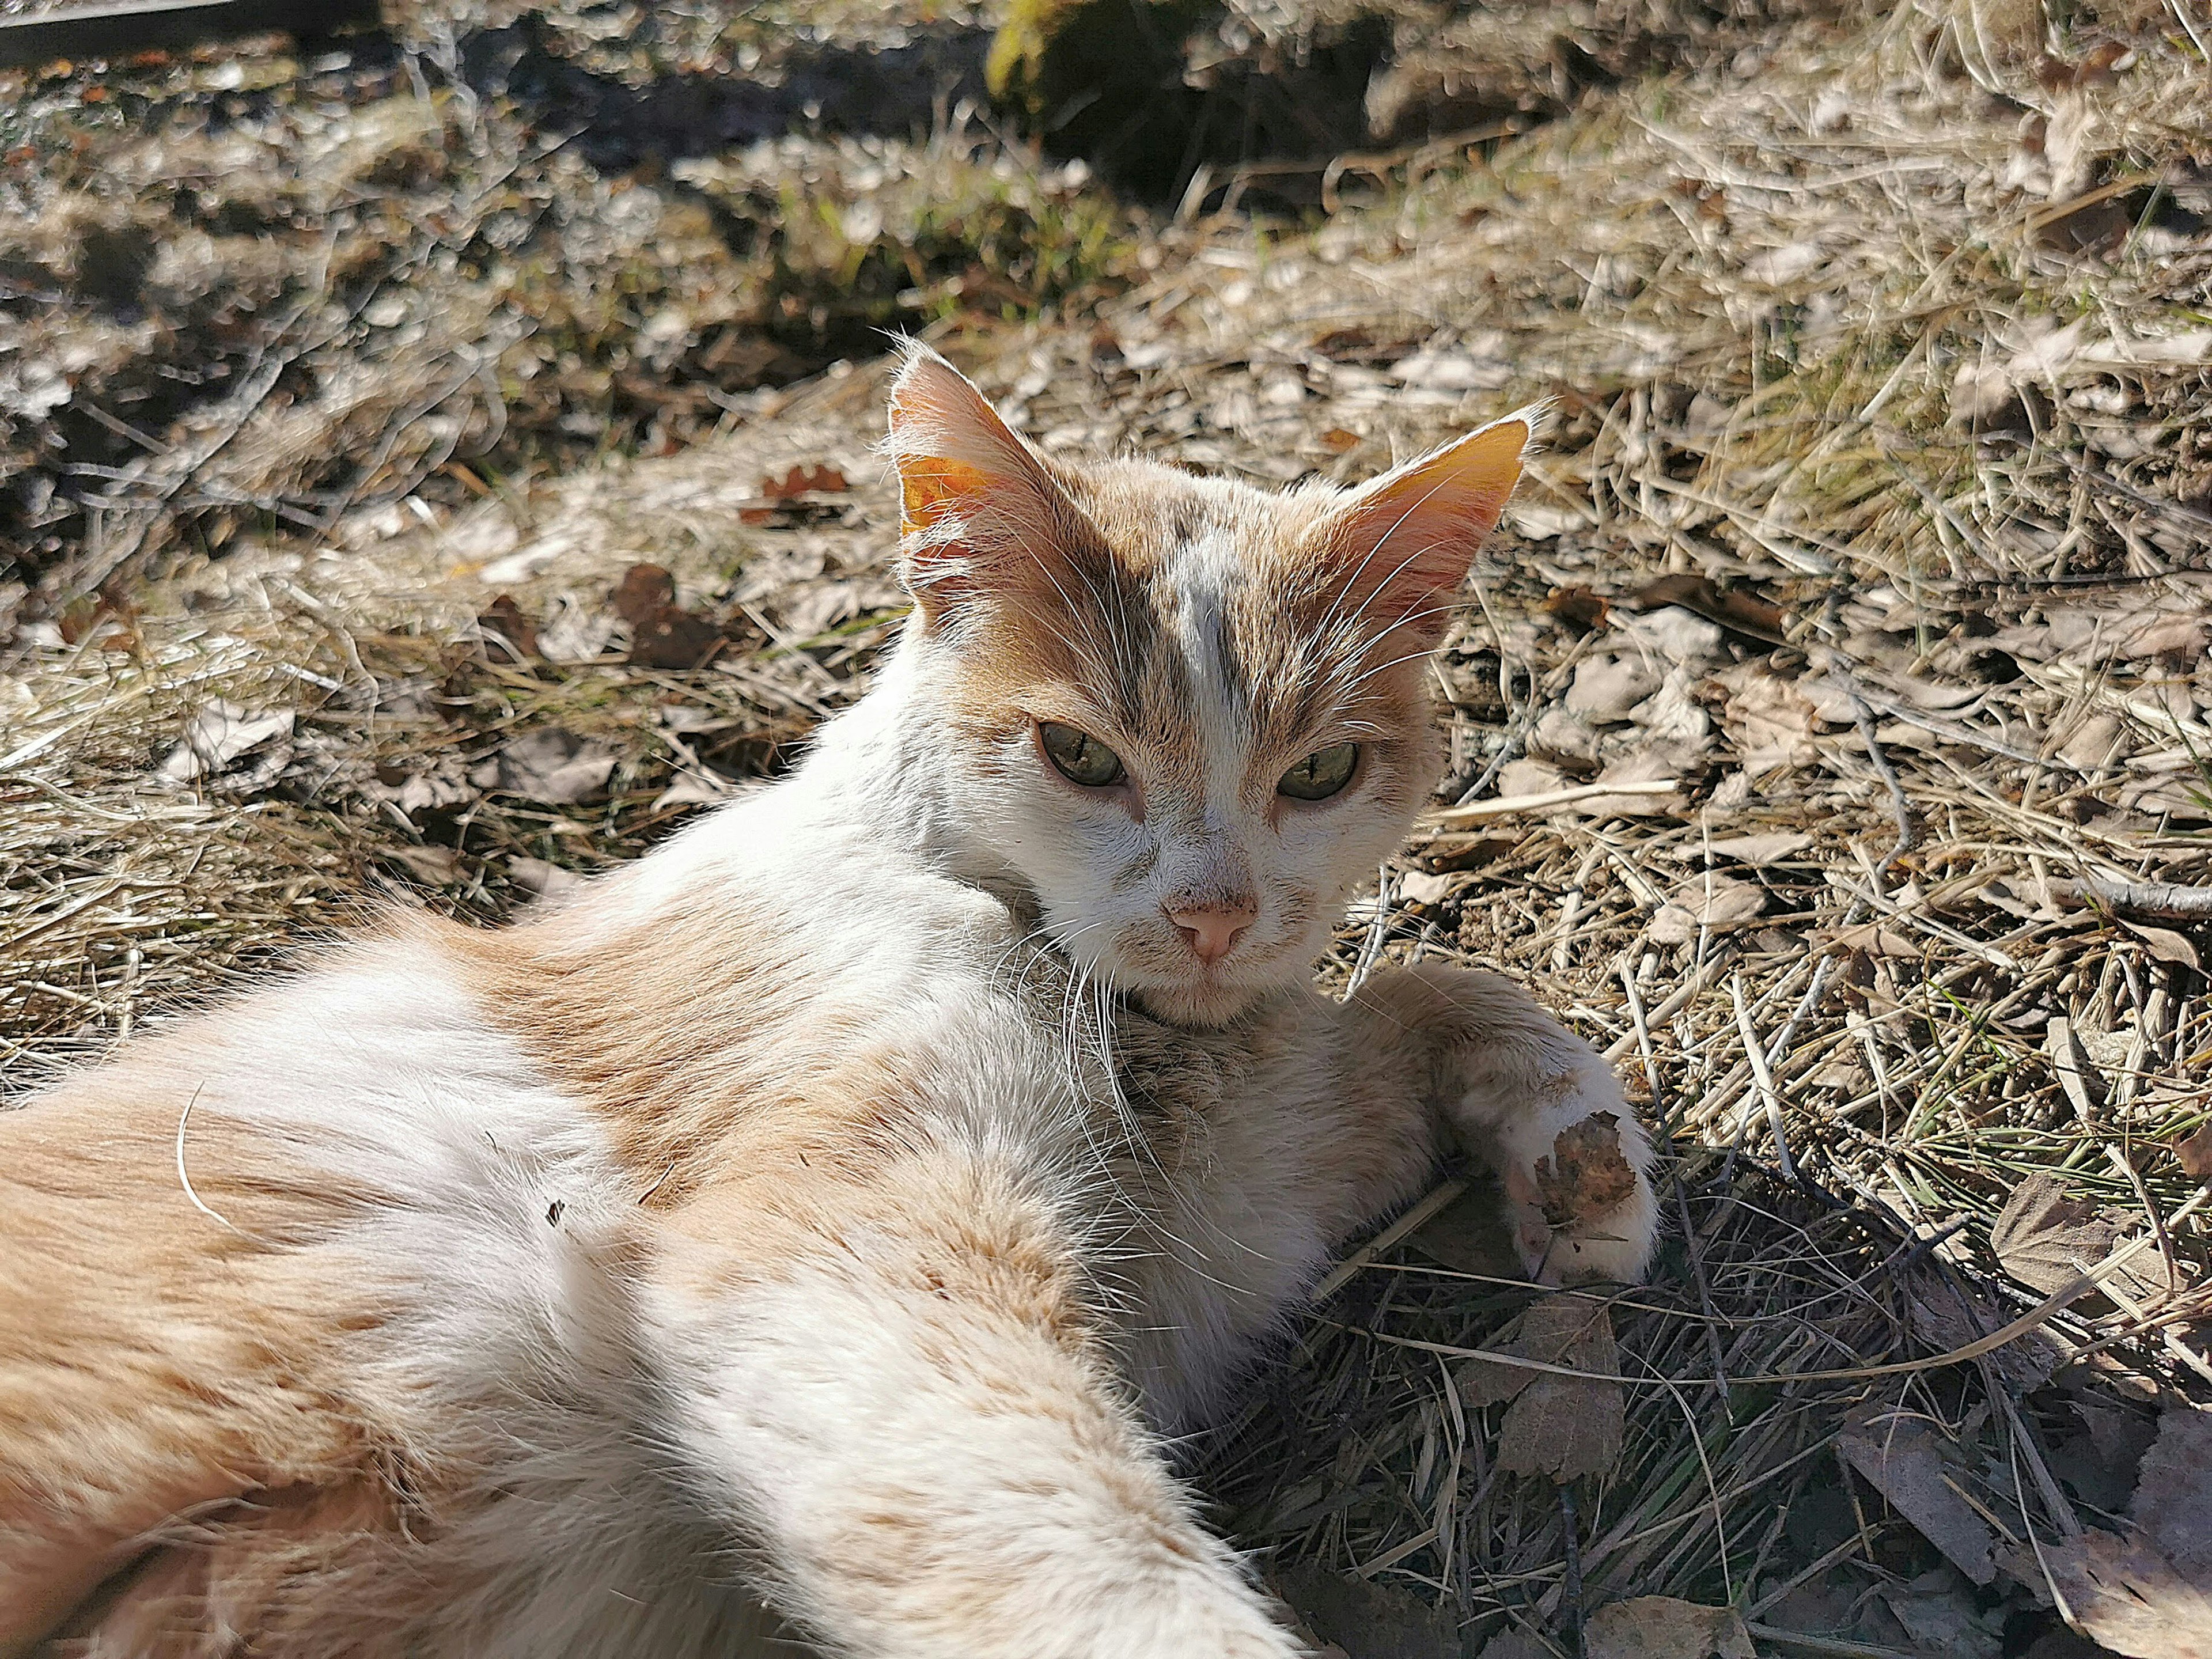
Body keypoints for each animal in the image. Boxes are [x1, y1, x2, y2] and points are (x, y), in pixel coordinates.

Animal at [0, 345, 1663, 1654]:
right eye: (1079, 757)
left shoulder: (1218, 1238)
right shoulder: (841, 1249)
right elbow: (1069, 1544)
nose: (1213, 913)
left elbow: (1425, 991)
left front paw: (1581, 1159)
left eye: (1318, 773)